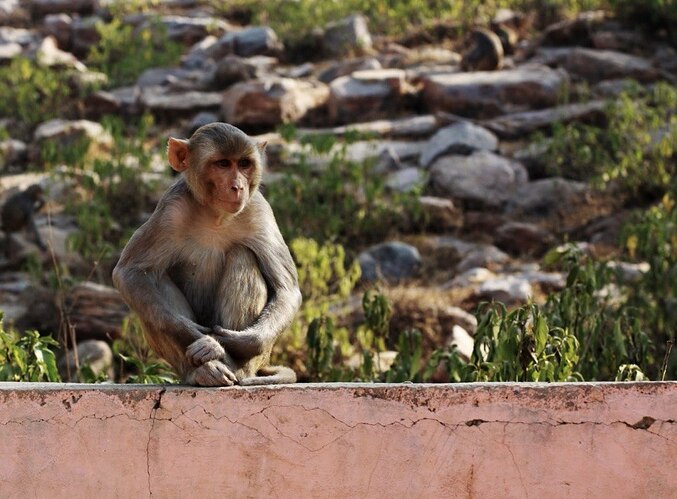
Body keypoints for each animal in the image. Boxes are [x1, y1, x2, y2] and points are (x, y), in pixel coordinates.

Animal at [112, 123, 301, 387]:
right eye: (222, 164)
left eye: (244, 164)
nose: (238, 187)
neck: (216, 216)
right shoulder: (171, 209)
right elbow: (129, 273)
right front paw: (197, 337)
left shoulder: (259, 211)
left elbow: (287, 290)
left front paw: (229, 342)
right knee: (153, 277)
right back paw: (203, 371)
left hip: (259, 358)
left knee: (242, 255)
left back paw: (232, 365)